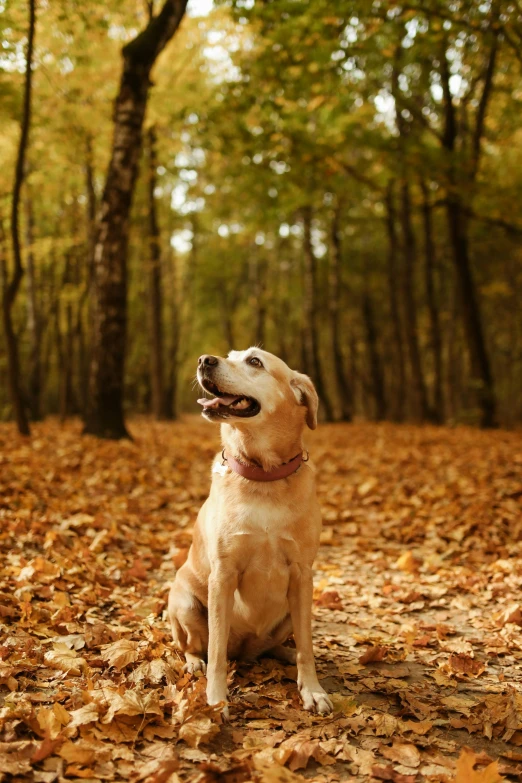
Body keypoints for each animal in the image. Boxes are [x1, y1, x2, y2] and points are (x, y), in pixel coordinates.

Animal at [169, 352, 332, 720]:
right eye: (230, 357)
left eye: (255, 361)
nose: (205, 359)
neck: (263, 476)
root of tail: (243, 652)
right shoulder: (223, 576)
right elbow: (216, 652)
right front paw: (216, 700)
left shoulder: (302, 575)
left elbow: (306, 645)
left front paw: (312, 689)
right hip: (186, 604)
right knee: (194, 646)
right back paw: (194, 663)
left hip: (290, 612)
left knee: (281, 644)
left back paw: (284, 655)